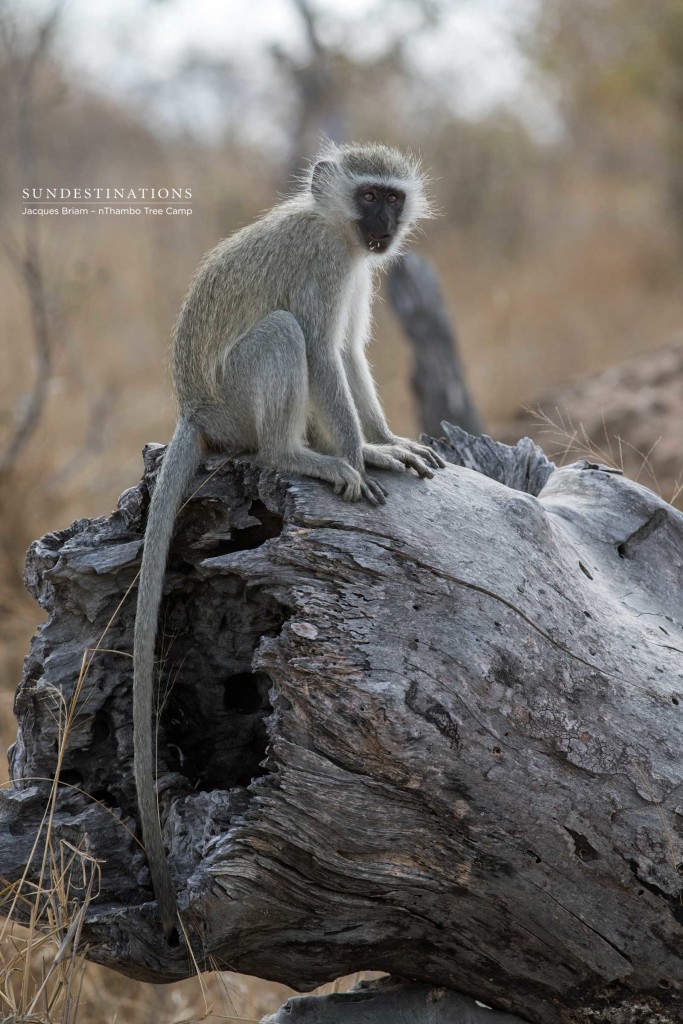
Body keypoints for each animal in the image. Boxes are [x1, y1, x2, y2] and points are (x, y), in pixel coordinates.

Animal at [134, 142, 446, 937]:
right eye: (368, 196)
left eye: (391, 198)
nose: (382, 226)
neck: (333, 226)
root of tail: (193, 410)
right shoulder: (324, 263)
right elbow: (325, 353)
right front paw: (367, 456)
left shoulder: (357, 271)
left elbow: (352, 352)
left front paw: (387, 440)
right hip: (236, 403)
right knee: (283, 337)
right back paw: (301, 455)